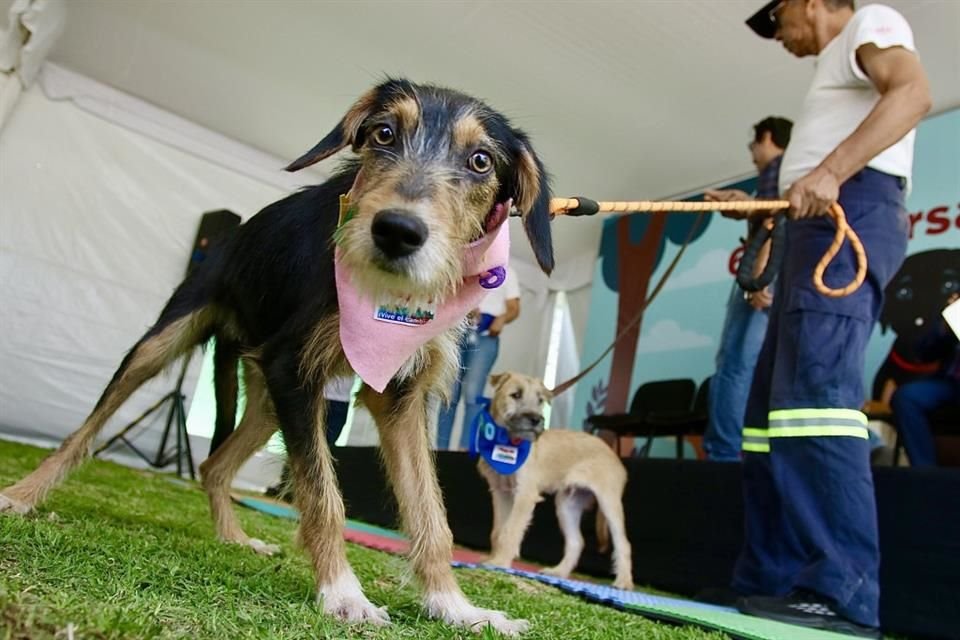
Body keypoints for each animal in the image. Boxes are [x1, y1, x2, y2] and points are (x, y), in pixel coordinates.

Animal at [1, 80, 556, 636]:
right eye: (383, 133)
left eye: (481, 161)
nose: (397, 230)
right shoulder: (294, 368)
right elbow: (322, 496)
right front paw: (343, 594)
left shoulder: (398, 398)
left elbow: (431, 515)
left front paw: (455, 607)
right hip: (170, 345)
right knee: (83, 435)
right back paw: (24, 494)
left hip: (270, 398)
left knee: (214, 466)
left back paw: (233, 537)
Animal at [476, 372, 632, 592]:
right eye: (516, 395)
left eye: (540, 400)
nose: (536, 419)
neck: (506, 441)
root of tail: (611, 453)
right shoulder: (500, 493)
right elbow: (498, 531)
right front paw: (493, 559)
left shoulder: (525, 495)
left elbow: (511, 530)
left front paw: (499, 563)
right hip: (567, 505)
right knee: (577, 542)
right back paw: (559, 572)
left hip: (609, 503)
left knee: (623, 543)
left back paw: (624, 581)